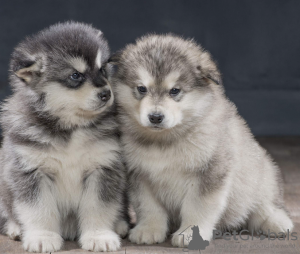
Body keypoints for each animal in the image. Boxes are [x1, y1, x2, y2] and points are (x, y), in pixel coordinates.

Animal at [0, 22, 127, 253]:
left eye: (102, 69)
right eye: (75, 76)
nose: (106, 94)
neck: (71, 127)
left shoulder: (103, 167)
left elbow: (99, 207)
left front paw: (99, 235)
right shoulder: (31, 170)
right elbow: (39, 210)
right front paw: (42, 236)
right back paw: (14, 227)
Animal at [109, 34, 294, 247]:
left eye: (174, 91)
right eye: (141, 88)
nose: (155, 117)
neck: (164, 141)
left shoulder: (210, 172)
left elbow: (197, 207)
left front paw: (190, 234)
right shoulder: (139, 175)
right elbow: (148, 206)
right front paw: (149, 229)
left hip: (260, 177)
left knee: (263, 207)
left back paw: (277, 222)